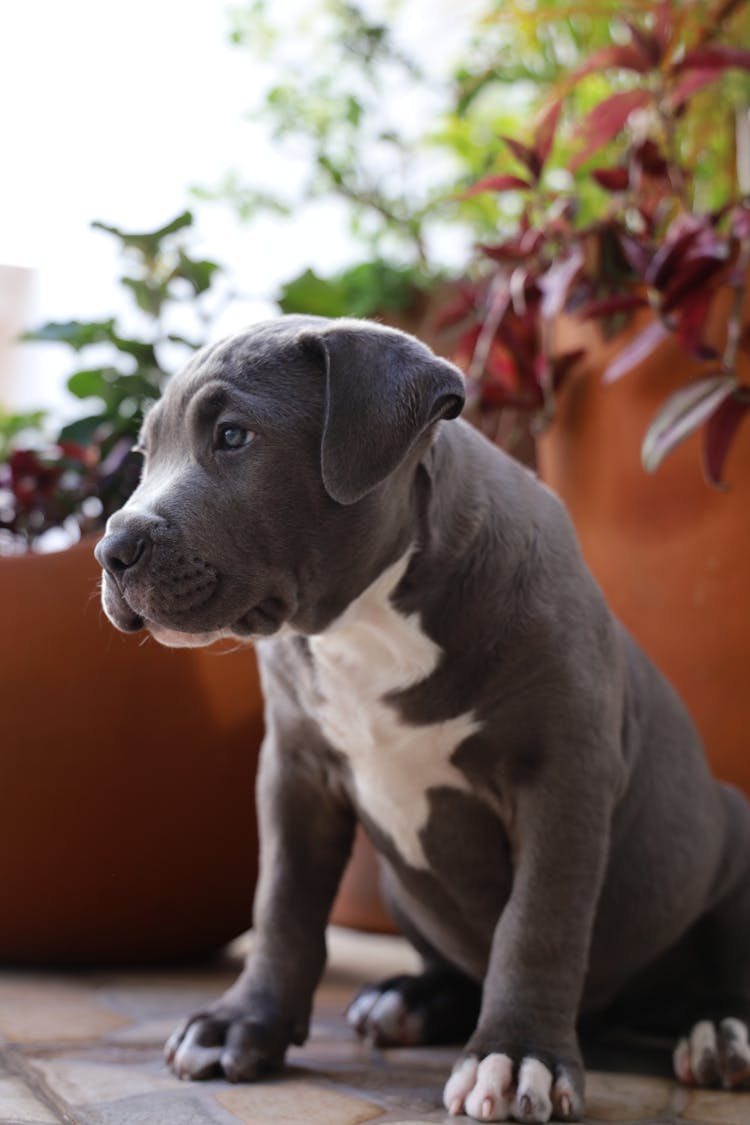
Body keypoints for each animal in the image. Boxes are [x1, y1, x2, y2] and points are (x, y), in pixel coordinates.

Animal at [95, 319, 750, 1125]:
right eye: (144, 454)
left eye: (232, 435)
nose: (112, 549)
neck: (366, 619)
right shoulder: (295, 772)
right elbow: (281, 904)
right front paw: (241, 1023)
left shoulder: (563, 776)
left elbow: (539, 922)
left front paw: (518, 1055)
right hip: (404, 891)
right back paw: (408, 998)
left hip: (731, 834)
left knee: (718, 968)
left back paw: (718, 1028)